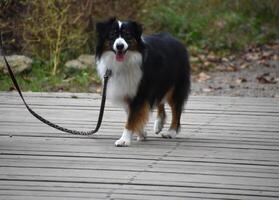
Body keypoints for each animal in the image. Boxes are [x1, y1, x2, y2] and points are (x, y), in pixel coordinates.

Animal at [95, 18, 190, 146]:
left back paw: (171, 132)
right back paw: (159, 123)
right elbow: (133, 114)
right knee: (160, 100)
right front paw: (141, 133)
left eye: (128, 34)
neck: (125, 61)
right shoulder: (127, 89)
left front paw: (124, 139)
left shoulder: (140, 90)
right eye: (112, 34)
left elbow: (132, 117)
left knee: (176, 109)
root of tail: (175, 39)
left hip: (175, 85)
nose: (119, 46)